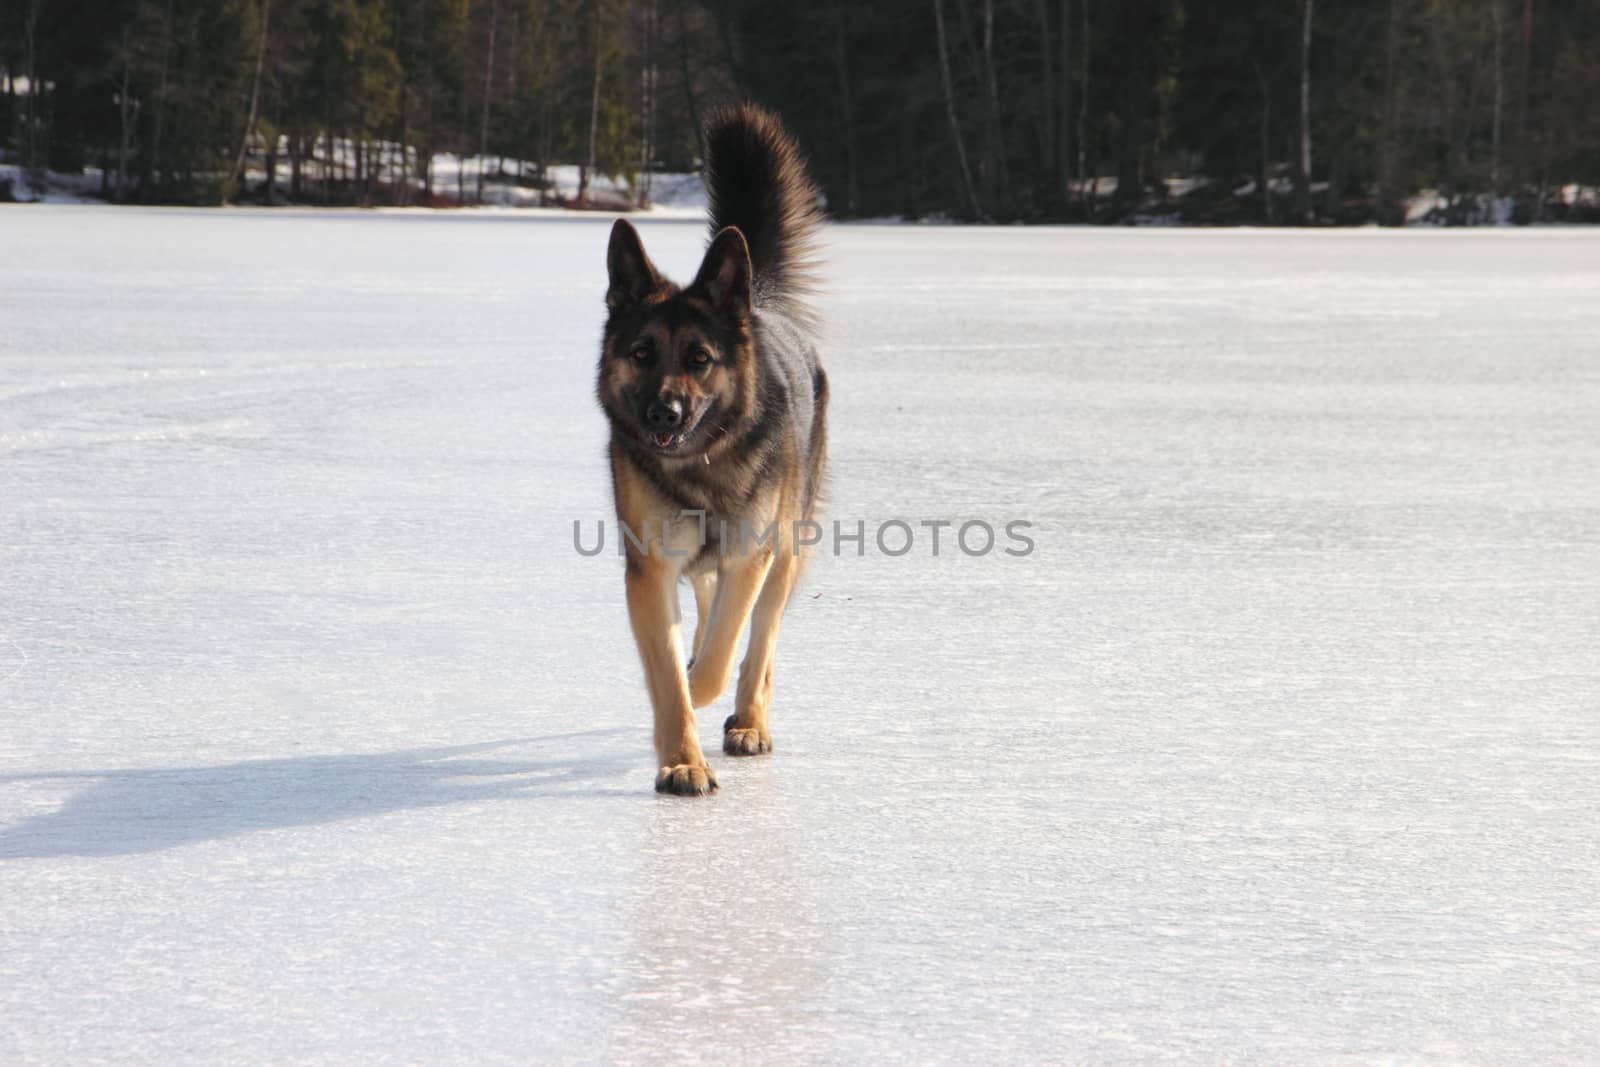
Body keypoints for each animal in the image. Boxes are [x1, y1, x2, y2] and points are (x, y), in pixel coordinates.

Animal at [598, 103, 832, 796]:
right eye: (642, 353)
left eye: (700, 359)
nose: (662, 414)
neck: (701, 467)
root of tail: (763, 305)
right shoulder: (650, 571)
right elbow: (671, 674)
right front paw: (681, 759)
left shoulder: (749, 555)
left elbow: (721, 656)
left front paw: (707, 697)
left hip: (784, 552)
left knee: (760, 643)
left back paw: (749, 720)